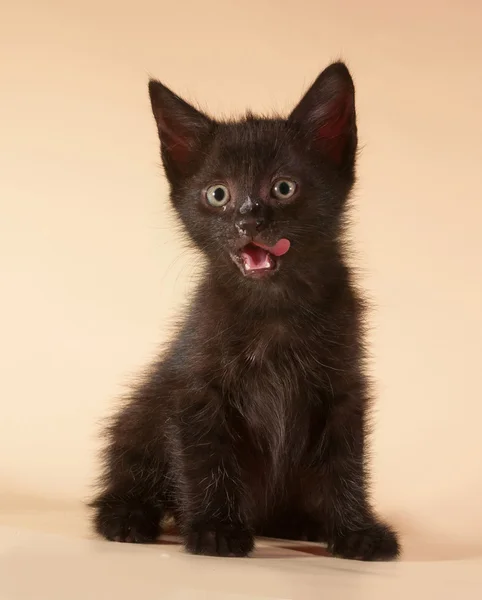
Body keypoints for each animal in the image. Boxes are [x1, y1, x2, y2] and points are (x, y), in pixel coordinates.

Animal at [90, 59, 400, 556]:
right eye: (218, 194)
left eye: (284, 187)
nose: (247, 219)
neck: (274, 307)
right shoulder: (195, 384)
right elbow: (206, 456)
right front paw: (215, 528)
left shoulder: (343, 386)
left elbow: (345, 461)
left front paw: (356, 530)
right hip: (142, 409)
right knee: (128, 466)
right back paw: (126, 516)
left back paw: (300, 522)